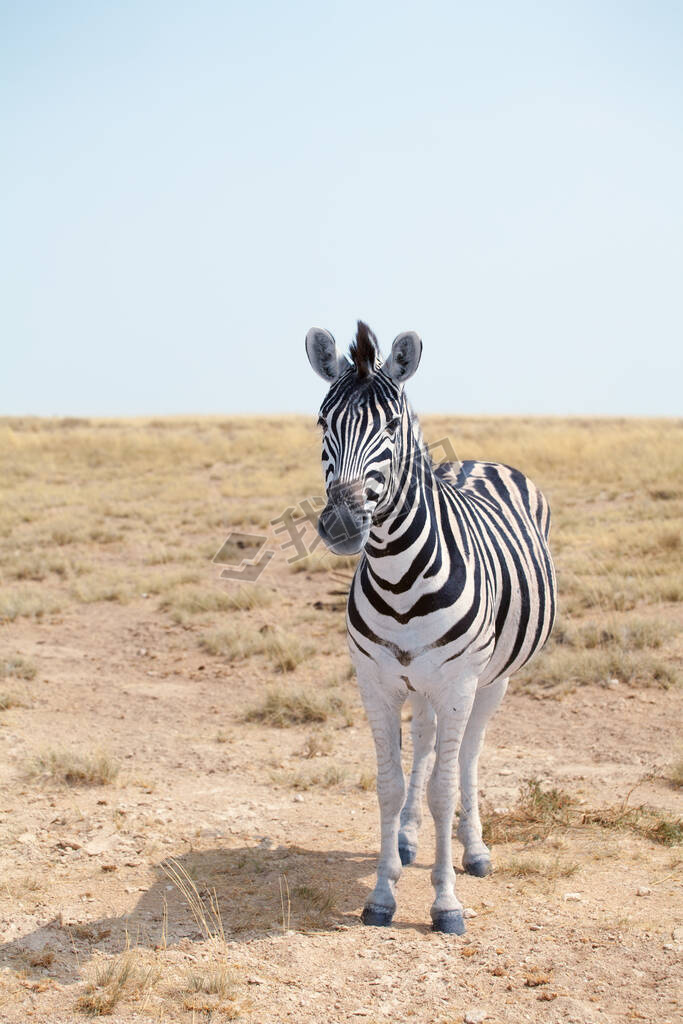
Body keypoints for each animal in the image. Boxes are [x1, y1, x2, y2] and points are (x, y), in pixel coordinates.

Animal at [305, 321, 557, 937]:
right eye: (322, 422)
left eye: (393, 426)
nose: (342, 524)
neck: (399, 577)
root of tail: (478, 461)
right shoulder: (375, 682)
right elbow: (390, 783)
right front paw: (382, 892)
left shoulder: (458, 682)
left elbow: (444, 787)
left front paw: (445, 902)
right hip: (419, 683)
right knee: (423, 742)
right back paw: (407, 839)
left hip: (491, 680)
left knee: (466, 754)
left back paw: (474, 850)